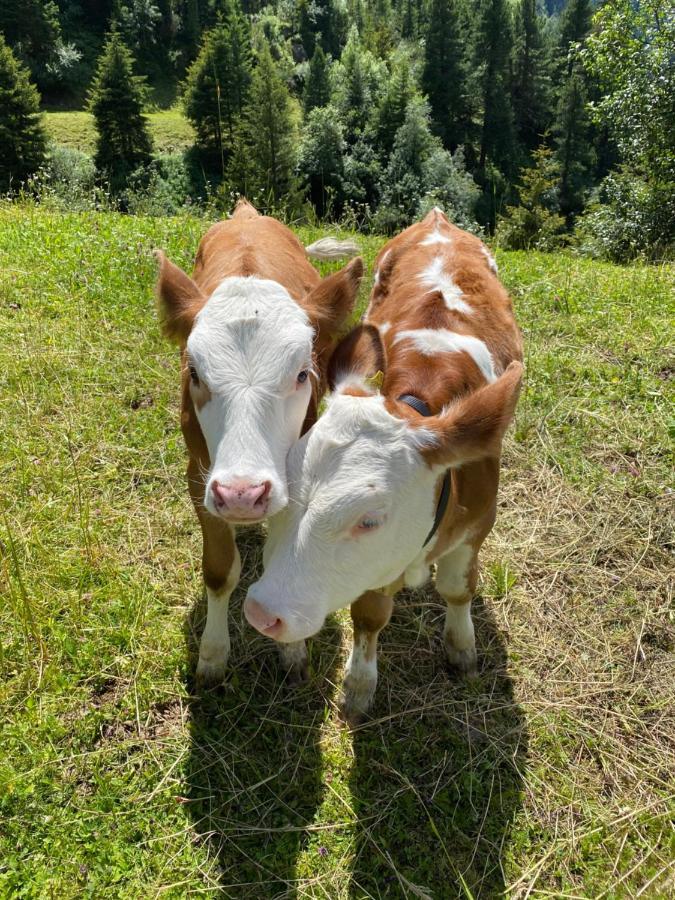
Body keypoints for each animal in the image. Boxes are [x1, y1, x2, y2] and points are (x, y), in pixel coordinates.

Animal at [246, 207, 524, 720]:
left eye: (370, 520)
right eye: (284, 497)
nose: (261, 611)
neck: (418, 401)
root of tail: (438, 218)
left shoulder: (478, 524)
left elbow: (458, 588)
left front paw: (462, 649)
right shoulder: (377, 570)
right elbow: (369, 614)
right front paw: (359, 685)